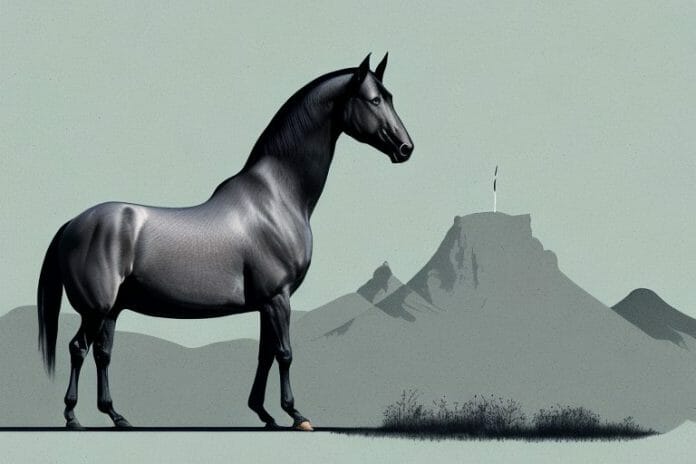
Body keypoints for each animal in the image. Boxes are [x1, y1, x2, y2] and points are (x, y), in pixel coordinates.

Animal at [36, 53, 413, 430]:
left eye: (390, 97)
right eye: (374, 100)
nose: (405, 148)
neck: (276, 196)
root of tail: (73, 223)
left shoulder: (267, 303)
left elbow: (265, 356)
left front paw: (264, 413)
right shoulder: (278, 298)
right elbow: (284, 354)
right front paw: (296, 415)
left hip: (112, 310)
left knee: (102, 354)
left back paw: (116, 416)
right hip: (96, 309)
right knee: (78, 349)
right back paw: (72, 416)